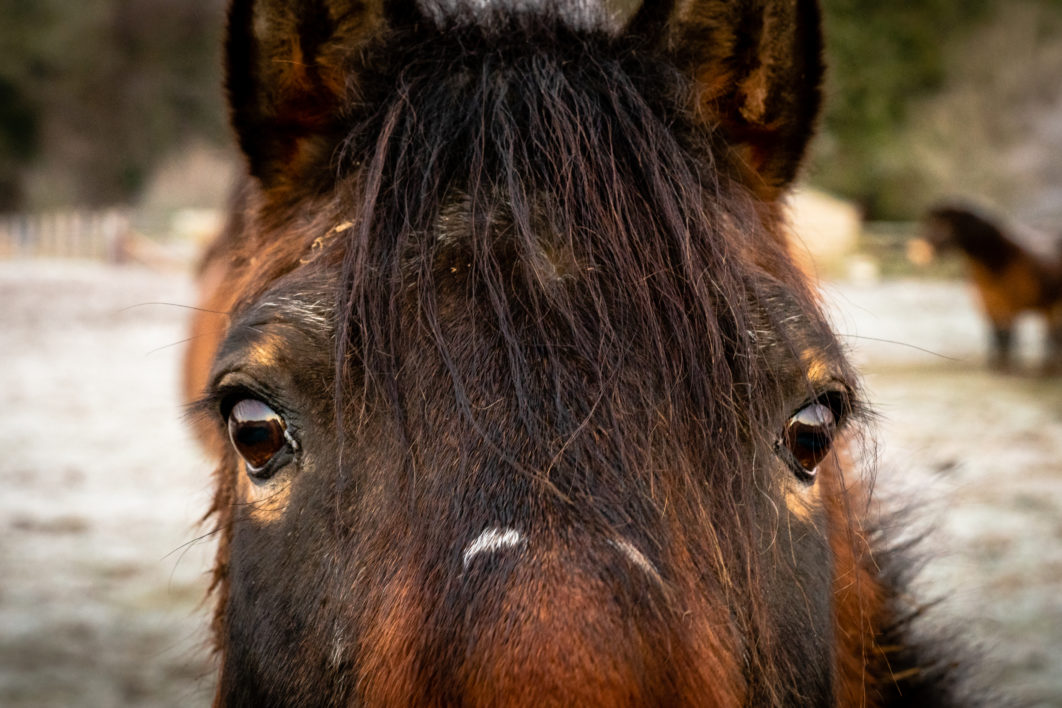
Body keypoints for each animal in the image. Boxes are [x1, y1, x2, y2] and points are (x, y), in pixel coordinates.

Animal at [921, 203, 1062, 373]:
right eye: (931, 223)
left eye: (943, 225)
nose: (924, 248)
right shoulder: (988, 305)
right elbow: (996, 337)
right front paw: (995, 366)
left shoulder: (1009, 307)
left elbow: (1006, 338)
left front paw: (1007, 369)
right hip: (1047, 306)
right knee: (1052, 334)